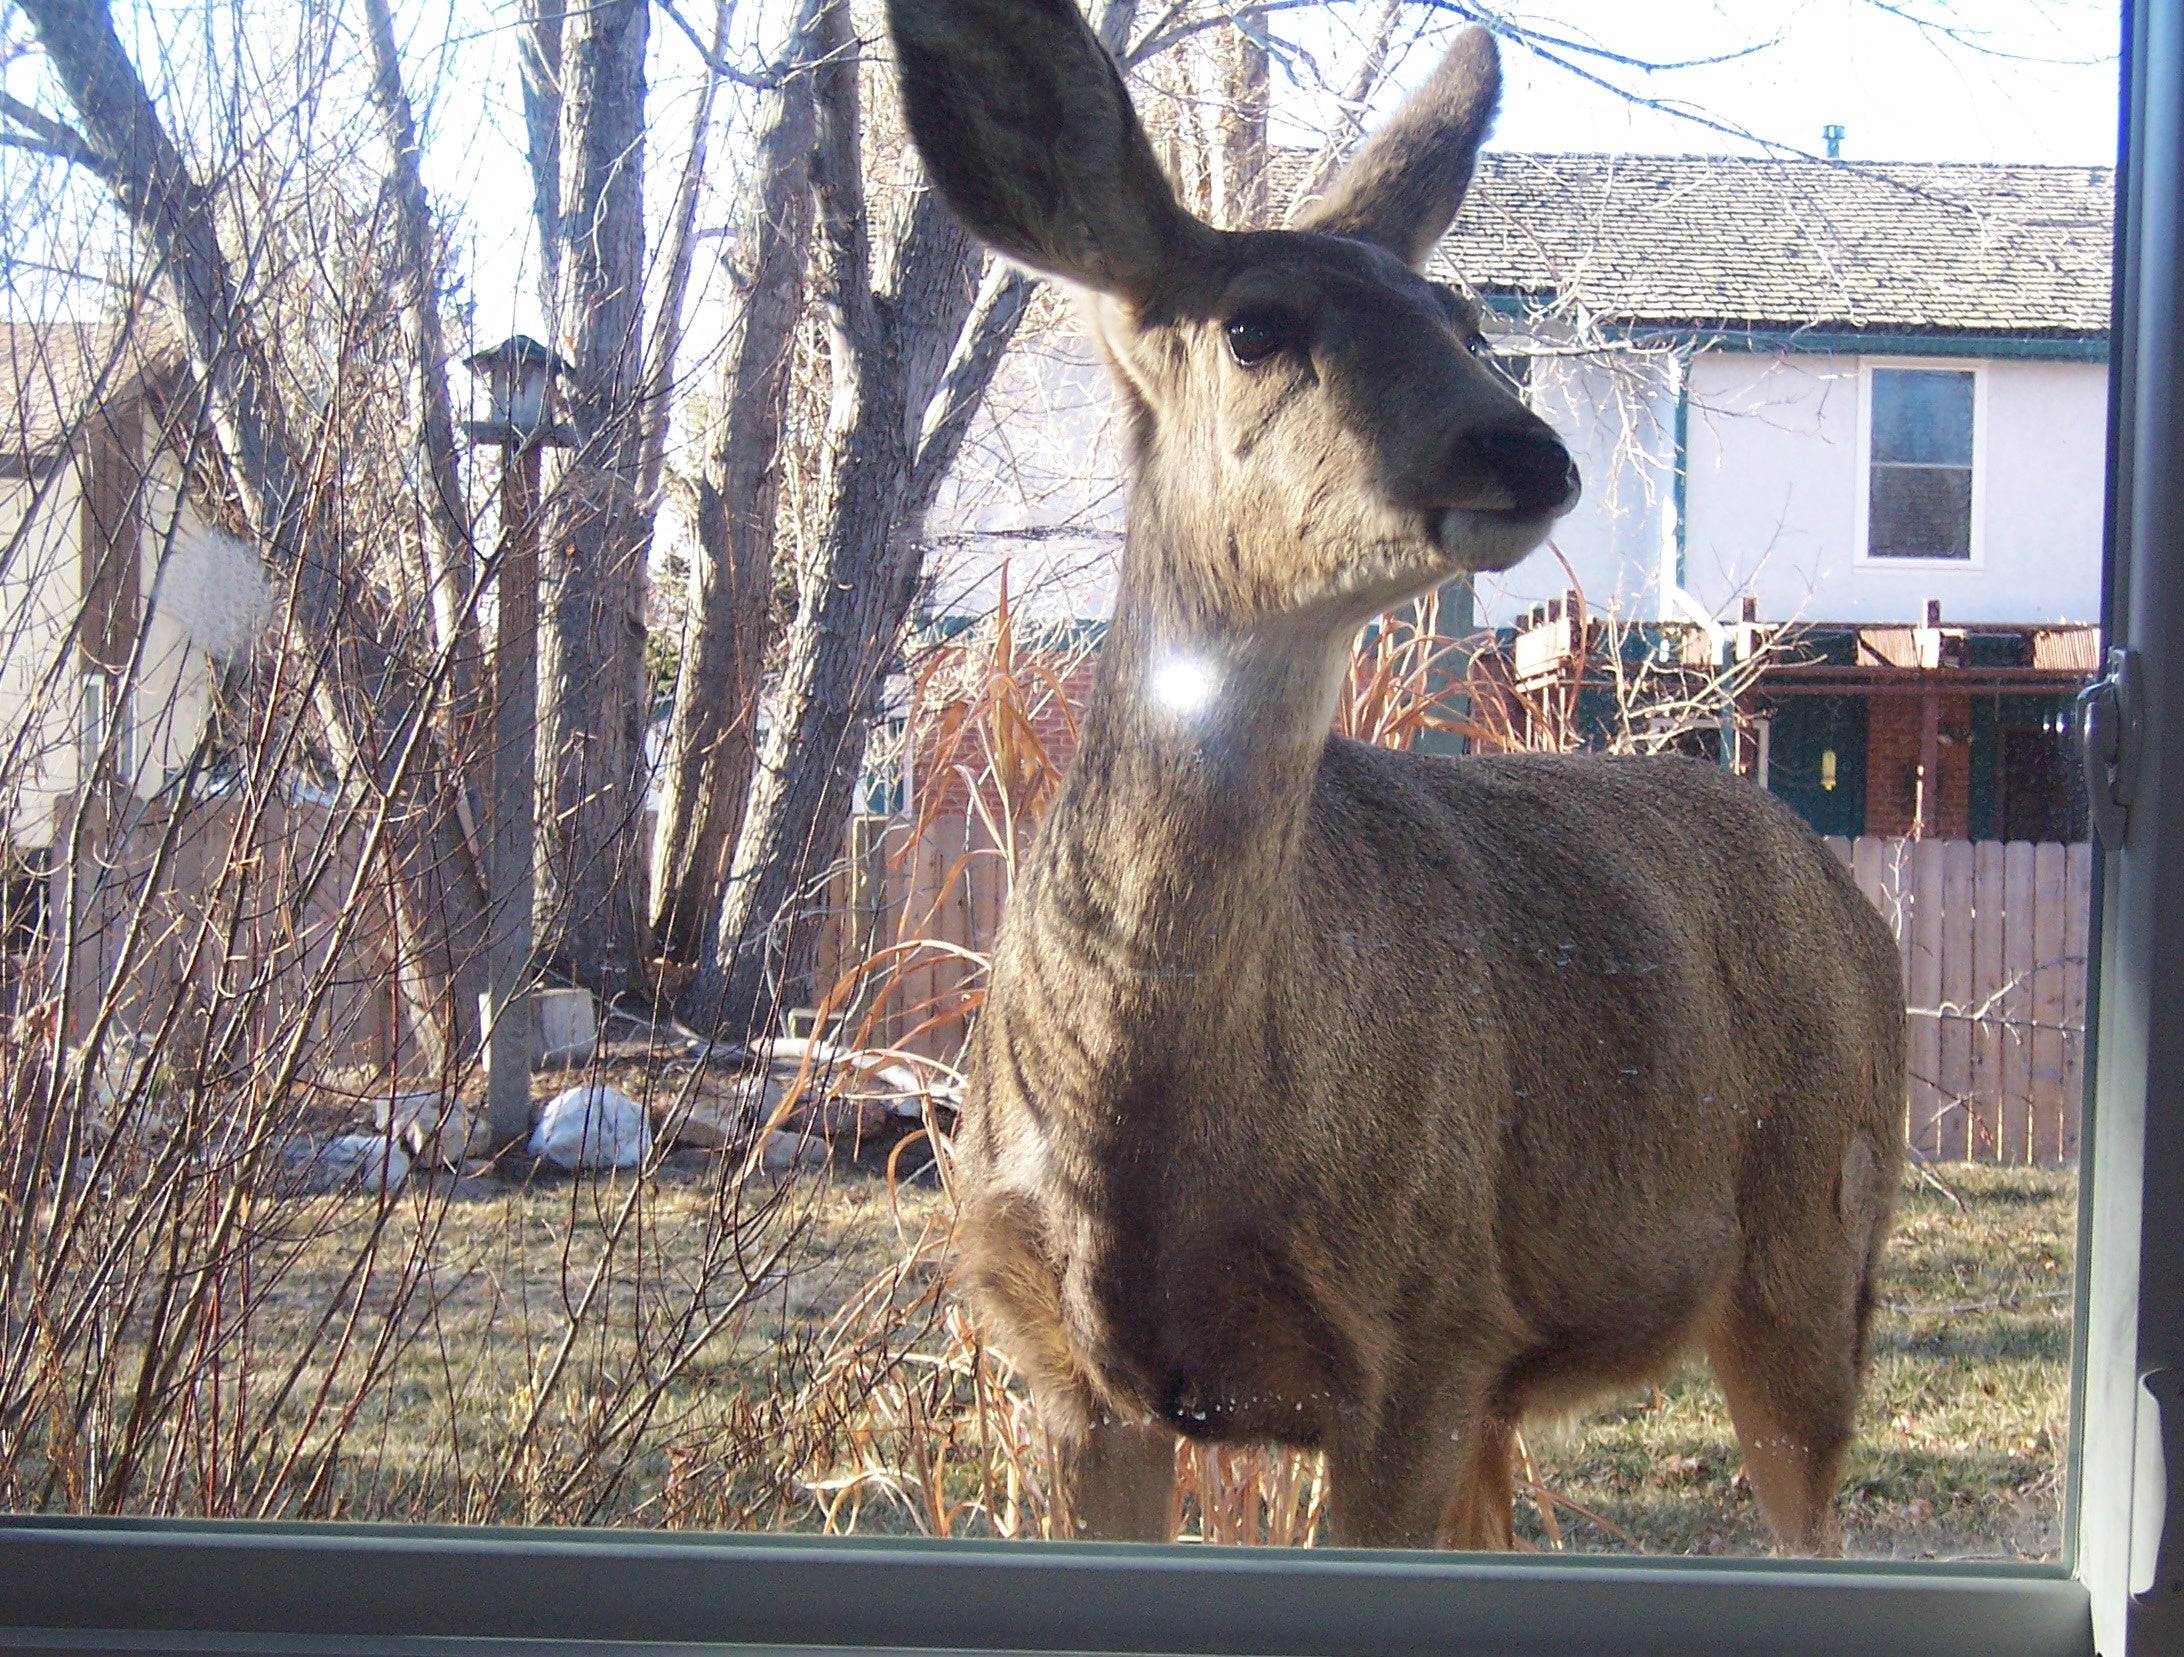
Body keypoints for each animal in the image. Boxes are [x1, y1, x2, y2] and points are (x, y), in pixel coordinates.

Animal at [886, 0, 1913, 1554]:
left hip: (1816, 1235)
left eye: (1468, 322)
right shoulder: (1064, 1368)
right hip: (1524, 1367)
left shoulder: (1418, 1327)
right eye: (1255, 325)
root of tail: (1846, 889)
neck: (1153, 1129)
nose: (1523, 445)